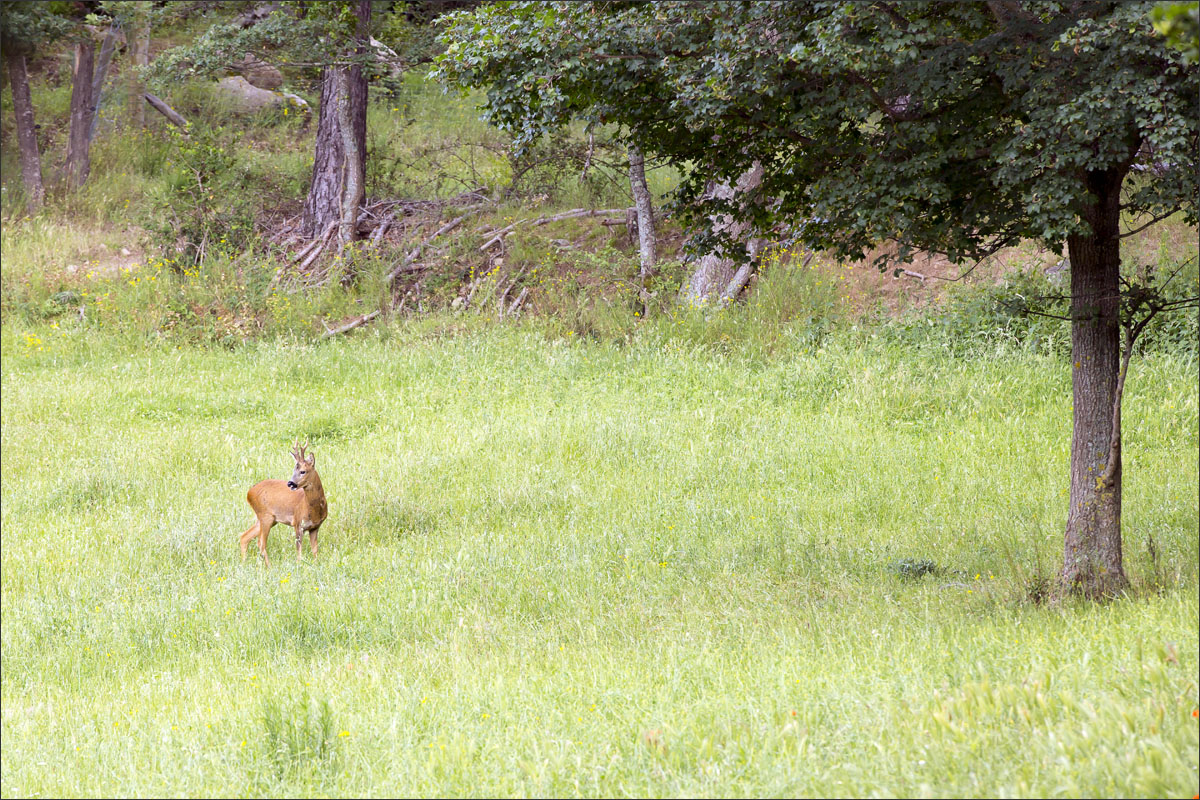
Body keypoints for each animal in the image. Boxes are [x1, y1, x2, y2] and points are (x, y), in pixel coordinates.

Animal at [238, 438, 326, 568]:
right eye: (293, 470)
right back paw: (269, 567)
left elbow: (315, 550)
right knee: (261, 543)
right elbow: (299, 551)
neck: (313, 509)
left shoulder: (315, 527)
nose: (290, 483)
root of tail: (249, 493)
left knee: (244, 537)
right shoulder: (298, 523)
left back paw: (243, 563)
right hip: (265, 516)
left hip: (267, 518)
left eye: (303, 471)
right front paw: (299, 565)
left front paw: (316, 565)